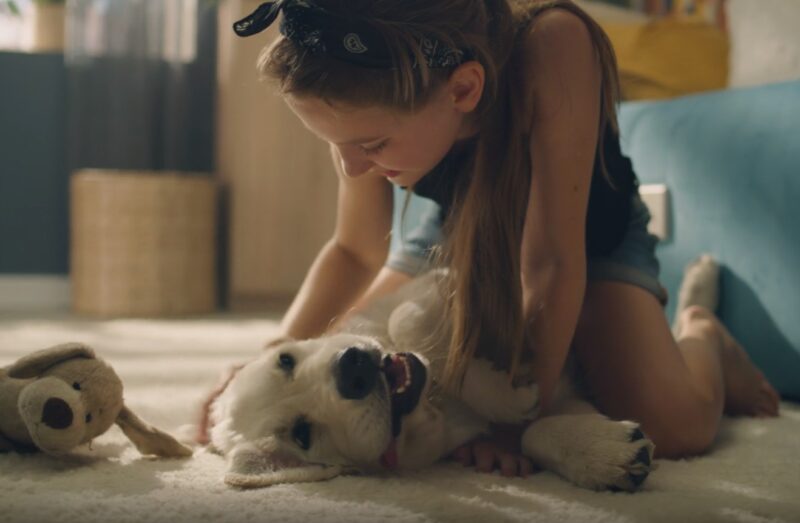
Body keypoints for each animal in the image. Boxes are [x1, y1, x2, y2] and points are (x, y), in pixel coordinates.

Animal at [209, 270, 652, 492]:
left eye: (286, 360)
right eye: (302, 434)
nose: (354, 369)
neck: (433, 407)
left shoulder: (435, 282)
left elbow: (404, 318)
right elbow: (531, 430)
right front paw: (605, 453)